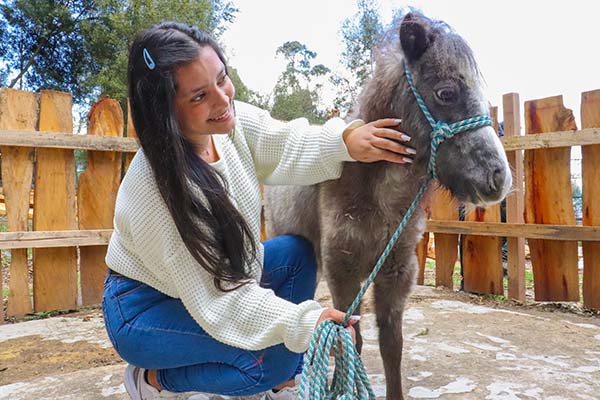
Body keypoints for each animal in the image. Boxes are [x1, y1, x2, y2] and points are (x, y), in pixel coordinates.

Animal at [266, 10, 510, 398]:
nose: (499, 178)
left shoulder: (397, 272)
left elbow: (391, 346)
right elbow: (350, 341)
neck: (378, 199)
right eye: (446, 92)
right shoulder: (342, 270)